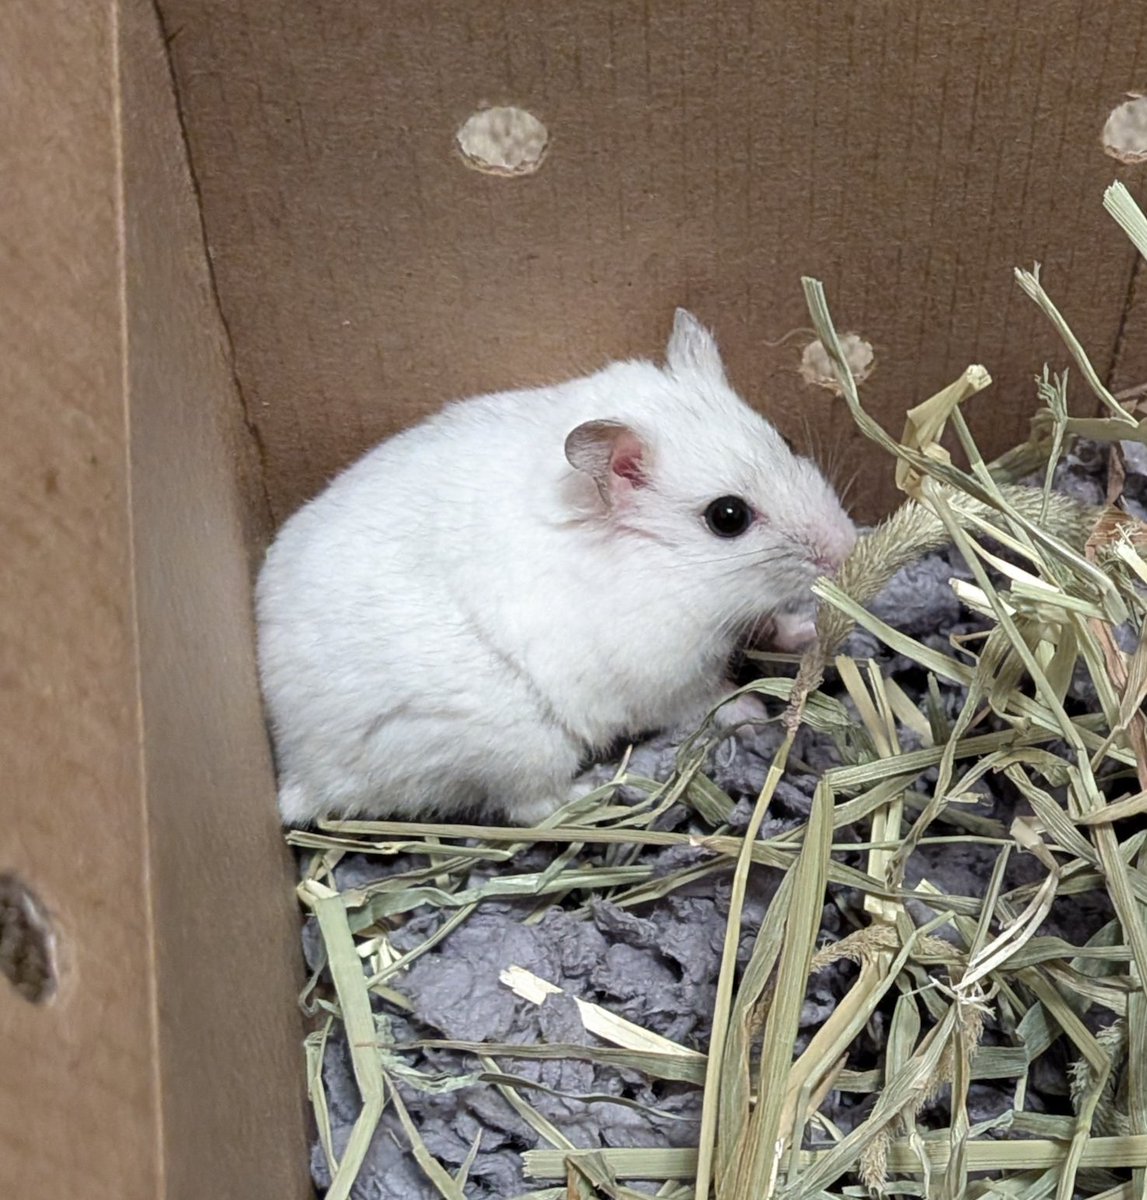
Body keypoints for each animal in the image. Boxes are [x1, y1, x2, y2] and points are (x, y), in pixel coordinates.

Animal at [255, 310, 856, 827]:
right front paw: (754, 705)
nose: (847, 547)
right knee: (533, 808)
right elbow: (714, 699)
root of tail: (298, 774)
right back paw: (605, 786)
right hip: (523, 746)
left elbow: (772, 624)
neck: (669, 567)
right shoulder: (667, 679)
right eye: (727, 517)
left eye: (787, 440)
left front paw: (809, 634)